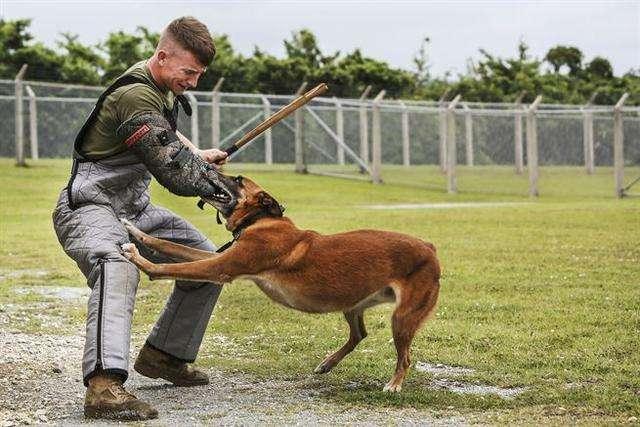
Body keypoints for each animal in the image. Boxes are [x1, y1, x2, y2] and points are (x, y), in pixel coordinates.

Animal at [120, 173, 440, 392]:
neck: (261, 219)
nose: (208, 167)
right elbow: (168, 244)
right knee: (359, 334)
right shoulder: (219, 259)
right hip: (353, 305)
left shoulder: (221, 266)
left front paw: (142, 261)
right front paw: (135, 230)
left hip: (402, 319)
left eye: (237, 180)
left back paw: (394, 384)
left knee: (404, 357)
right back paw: (328, 363)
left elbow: (171, 266)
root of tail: (429, 247)